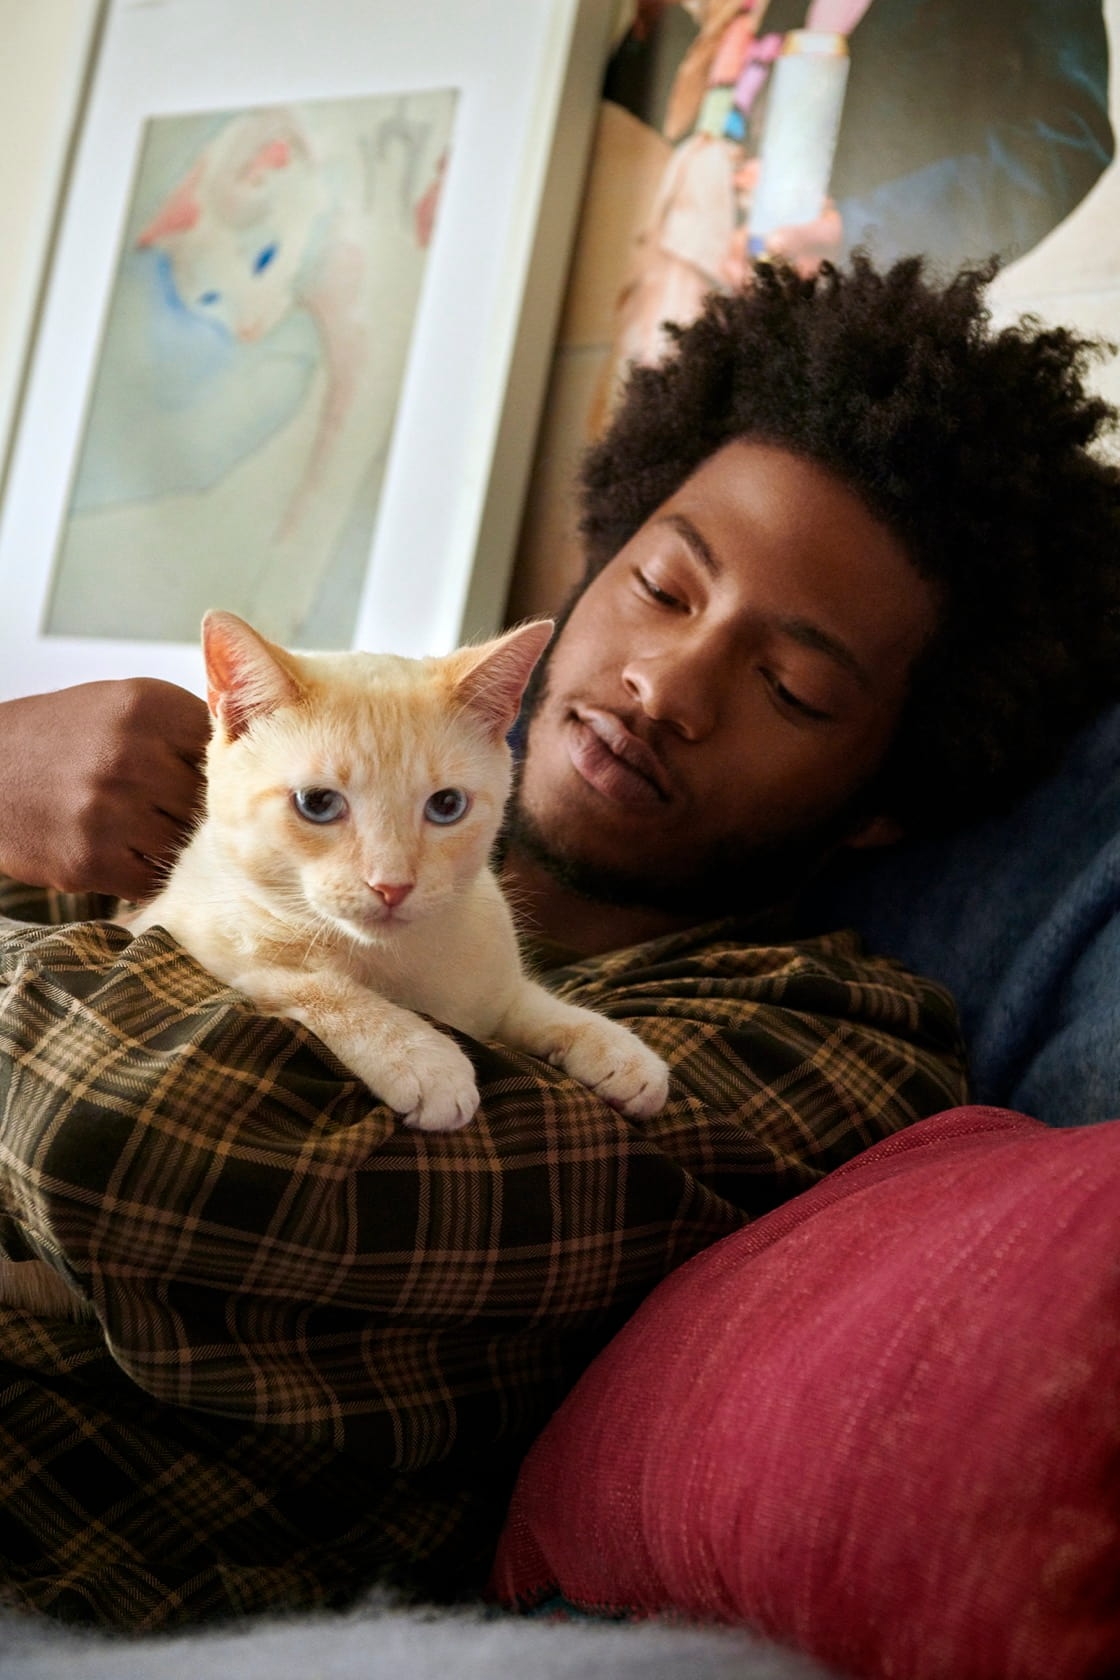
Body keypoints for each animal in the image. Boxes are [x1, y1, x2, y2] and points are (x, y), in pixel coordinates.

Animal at [0, 611, 664, 1317]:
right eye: (317, 804)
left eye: (447, 806)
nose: (392, 886)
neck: (386, 956)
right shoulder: (195, 944)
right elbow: (317, 986)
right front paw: (422, 1057)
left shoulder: (489, 987)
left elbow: (528, 1004)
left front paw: (619, 1051)